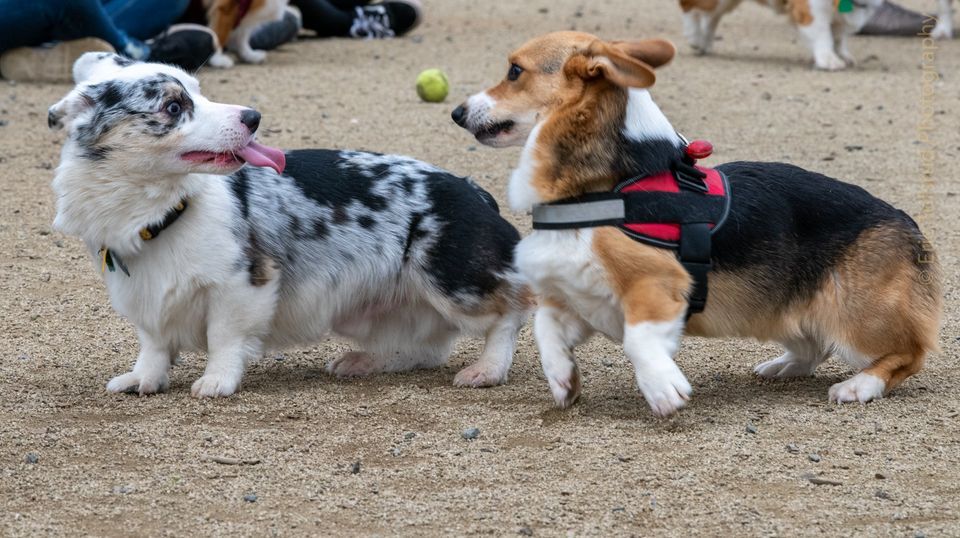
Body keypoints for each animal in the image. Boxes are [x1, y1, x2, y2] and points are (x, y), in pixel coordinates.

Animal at [48, 52, 528, 396]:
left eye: (199, 93)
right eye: (173, 106)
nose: (253, 117)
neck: (164, 209)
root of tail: (474, 190)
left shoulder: (241, 286)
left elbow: (224, 339)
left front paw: (217, 382)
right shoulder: (146, 300)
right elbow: (153, 347)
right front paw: (142, 380)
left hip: (452, 281)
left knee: (509, 313)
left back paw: (487, 369)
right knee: (426, 347)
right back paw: (365, 361)